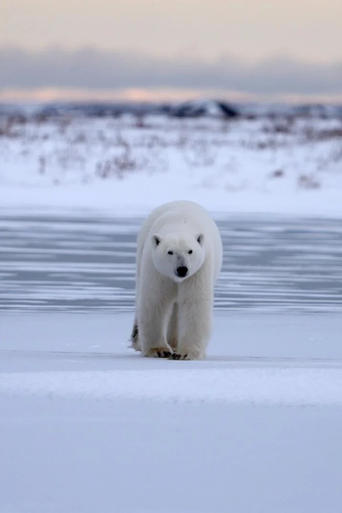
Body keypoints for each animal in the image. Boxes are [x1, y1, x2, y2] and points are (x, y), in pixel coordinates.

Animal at [130, 198, 223, 358]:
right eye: (170, 252)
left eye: (190, 251)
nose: (182, 269)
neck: (180, 223)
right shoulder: (156, 268)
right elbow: (155, 301)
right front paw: (159, 350)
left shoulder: (199, 270)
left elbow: (194, 303)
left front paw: (186, 353)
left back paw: (174, 344)